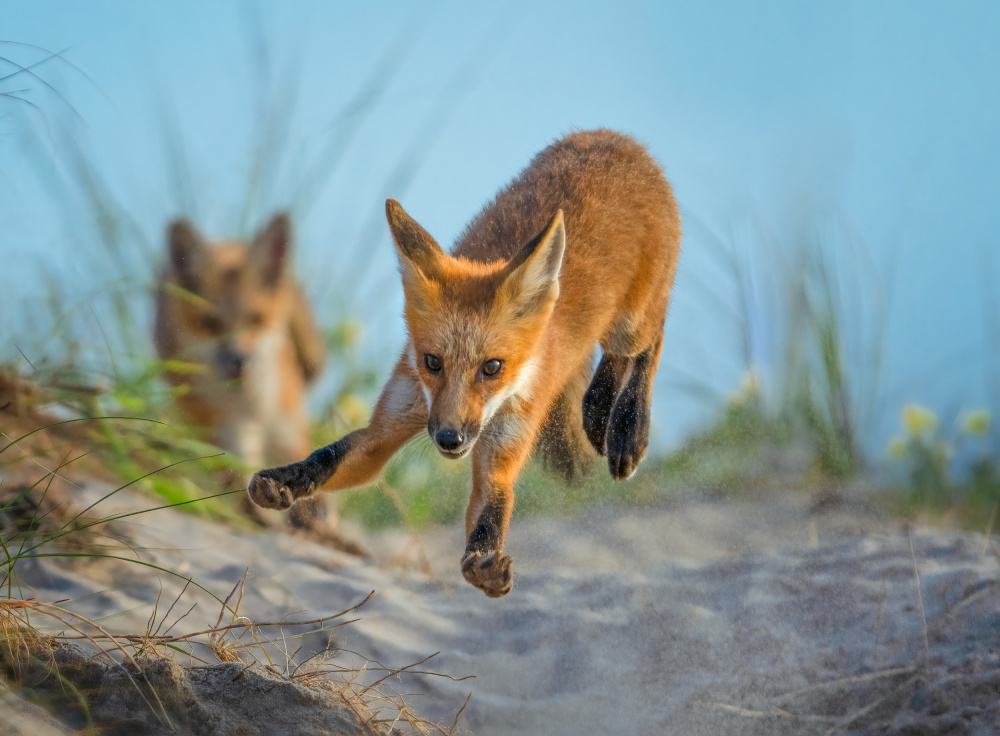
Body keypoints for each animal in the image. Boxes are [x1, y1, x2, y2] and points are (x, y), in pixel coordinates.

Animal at [153, 216, 332, 532]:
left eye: (255, 319)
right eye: (210, 324)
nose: (239, 359)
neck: (249, 402)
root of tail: (227, 243)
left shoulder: (285, 421)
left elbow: (303, 462)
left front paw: (311, 511)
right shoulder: (226, 427)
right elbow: (236, 471)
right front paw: (255, 509)